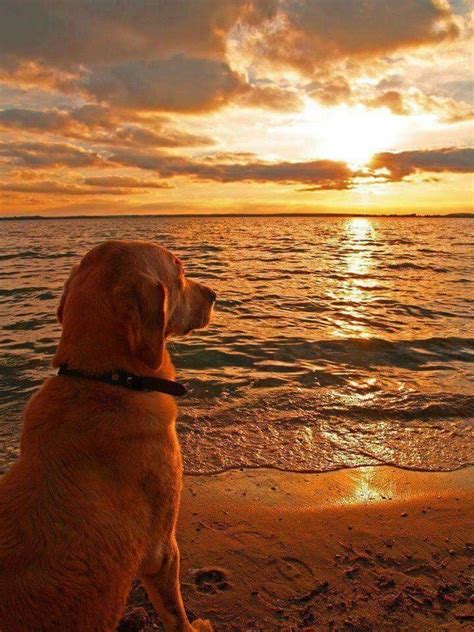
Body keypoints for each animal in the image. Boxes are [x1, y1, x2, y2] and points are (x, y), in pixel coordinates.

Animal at [0, 239, 215, 628]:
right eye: (179, 272)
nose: (213, 294)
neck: (105, 380)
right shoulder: (162, 549)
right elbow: (175, 613)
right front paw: (195, 627)